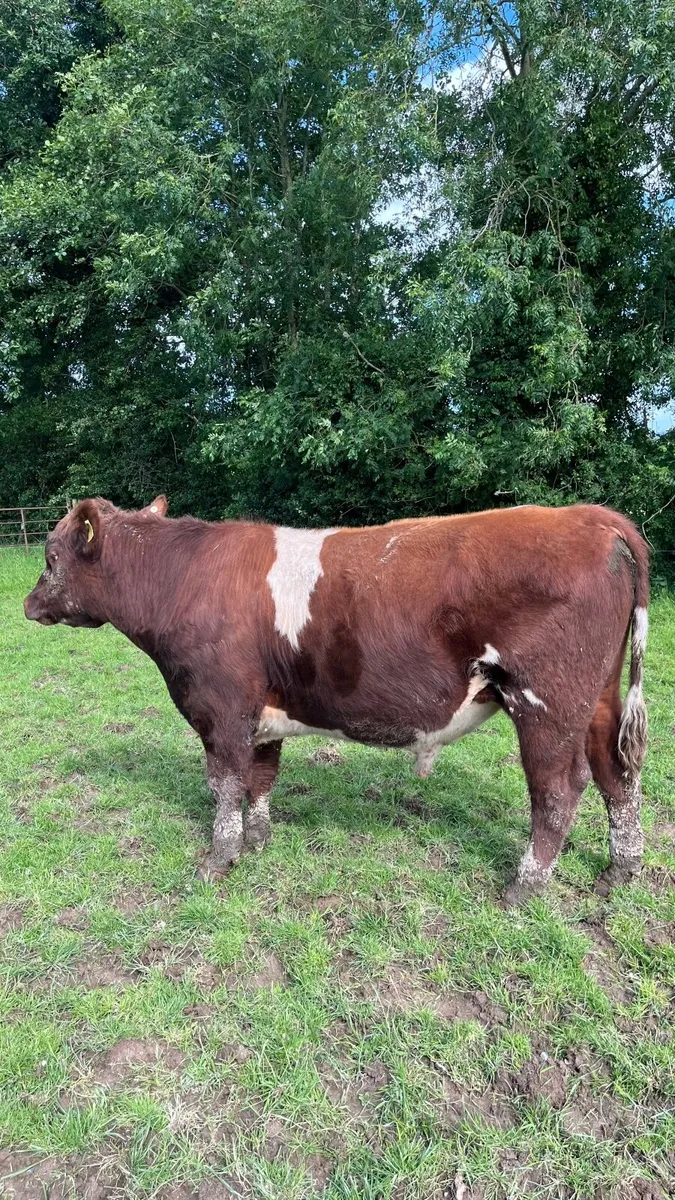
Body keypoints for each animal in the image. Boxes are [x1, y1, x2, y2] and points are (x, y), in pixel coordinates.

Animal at [24, 497, 649, 905]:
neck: (182, 578)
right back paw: (620, 871)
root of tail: (590, 517)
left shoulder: (221, 708)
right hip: (598, 699)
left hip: (545, 702)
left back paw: (524, 887)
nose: (28, 604)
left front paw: (217, 861)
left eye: (51, 558)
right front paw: (258, 841)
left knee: (559, 789)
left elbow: (224, 784)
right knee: (616, 774)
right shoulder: (262, 713)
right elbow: (261, 777)